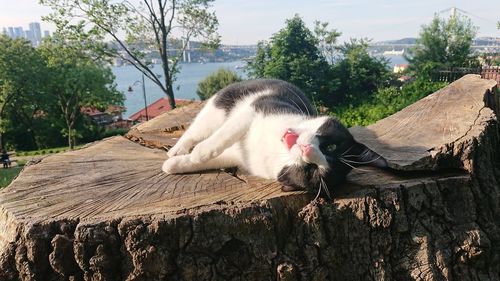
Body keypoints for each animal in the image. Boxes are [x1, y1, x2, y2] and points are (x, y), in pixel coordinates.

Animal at [162, 79, 384, 196]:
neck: (276, 147)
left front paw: (177, 165)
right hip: (222, 104)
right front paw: (199, 152)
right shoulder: (259, 108)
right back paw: (180, 148)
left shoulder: (240, 159)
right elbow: (228, 132)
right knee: (199, 127)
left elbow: (216, 160)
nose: (307, 150)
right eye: (331, 147)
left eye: (312, 171)